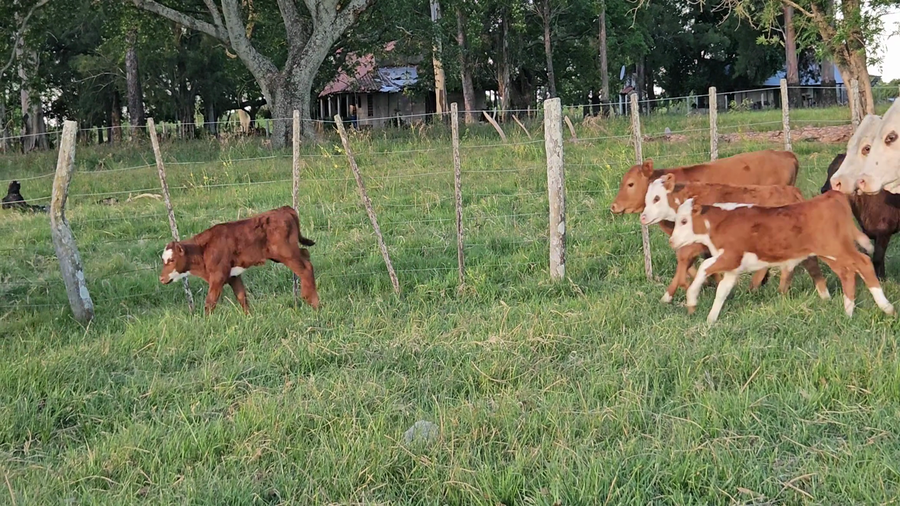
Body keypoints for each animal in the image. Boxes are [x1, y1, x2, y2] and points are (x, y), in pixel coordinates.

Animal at [159, 206, 319, 315]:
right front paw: (249, 316)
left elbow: (210, 301)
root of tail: (284, 209)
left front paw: (205, 322)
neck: (203, 249)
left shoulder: (218, 276)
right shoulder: (233, 275)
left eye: (171, 260)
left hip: (286, 253)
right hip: (288, 252)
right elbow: (241, 296)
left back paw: (313, 302)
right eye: (163, 260)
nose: (161, 278)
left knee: (306, 269)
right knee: (306, 255)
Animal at [640, 175, 813, 302]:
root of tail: (791, 191)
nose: (643, 216)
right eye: (646, 199)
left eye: (657, 198)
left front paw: (669, 295)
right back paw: (755, 288)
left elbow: (684, 258)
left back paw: (777, 291)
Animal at [669, 191, 895, 324]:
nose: (671, 241)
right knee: (847, 273)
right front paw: (710, 320)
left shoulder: (731, 257)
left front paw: (691, 299)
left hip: (837, 248)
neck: (720, 223)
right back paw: (848, 312)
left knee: (864, 263)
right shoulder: (733, 269)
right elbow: (722, 291)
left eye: (684, 221)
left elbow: (704, 266)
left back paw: (886, 307)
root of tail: (830, 196)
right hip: (831, 253)